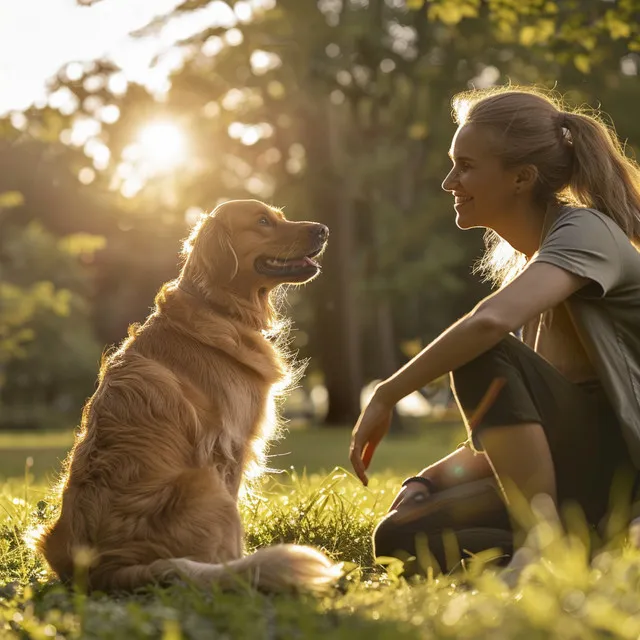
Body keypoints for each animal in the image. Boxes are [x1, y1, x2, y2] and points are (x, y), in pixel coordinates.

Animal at [38, 198, 340, 592]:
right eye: (262, 221)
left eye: (280, 216)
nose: (323, 229)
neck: (219, 308)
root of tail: (106, 567)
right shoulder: (232, 444)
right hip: (205, 484)